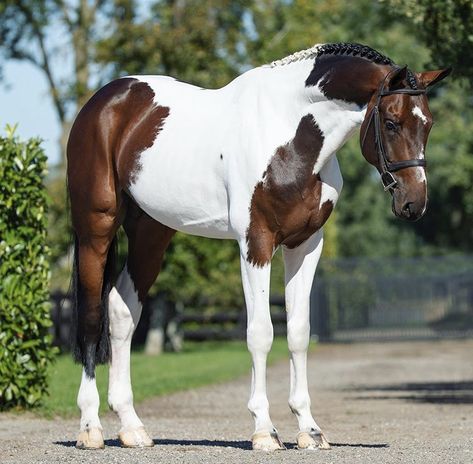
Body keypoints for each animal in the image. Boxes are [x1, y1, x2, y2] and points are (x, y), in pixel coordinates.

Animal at [66, 42, 450, 450]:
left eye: (427, 123)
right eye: (391, 122)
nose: (414, 203)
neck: (290, 133)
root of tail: (105, 100)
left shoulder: (305, 246)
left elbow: (298, 332)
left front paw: (309, 430)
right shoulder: (257, 243)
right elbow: (261, 334)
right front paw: (265, 430)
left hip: (151, 233)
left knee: (122, 310)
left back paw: (132, 428)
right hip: (96, 228)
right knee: (91, 316)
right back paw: (90, 428)